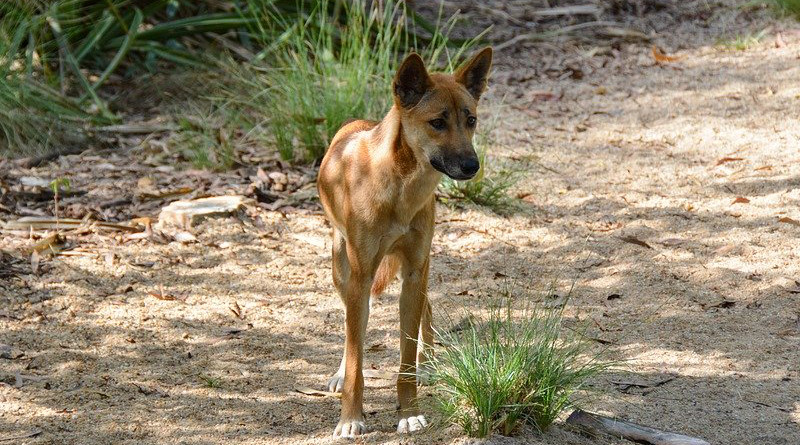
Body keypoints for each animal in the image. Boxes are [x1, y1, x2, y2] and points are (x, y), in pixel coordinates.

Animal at [318, 46, 494, 436]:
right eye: (437, 122)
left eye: (471, 120)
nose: (472, 165)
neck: (400, 188)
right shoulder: (361, 276)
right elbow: (357, 358)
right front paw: (350, 417)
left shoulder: (414, 270)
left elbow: (406, 360)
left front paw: (409, 411)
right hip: (342, 270)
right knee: (352, 328)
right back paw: (341, 371)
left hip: (420, 269)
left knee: (425, 311)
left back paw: (428, 361)